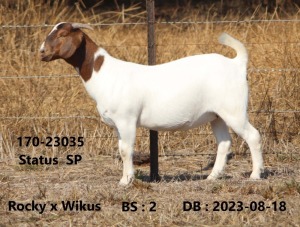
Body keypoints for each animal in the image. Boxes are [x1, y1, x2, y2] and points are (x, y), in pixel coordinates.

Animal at [39, 22, 262, 185]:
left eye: (62, 34)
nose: (42, 52)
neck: (105, 74)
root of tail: (237, 63)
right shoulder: (118, 124)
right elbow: (121, 149)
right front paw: (125, 178)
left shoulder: (126, 119)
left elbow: (126, 150)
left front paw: (126, 181)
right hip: (216, 115)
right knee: (224, 143)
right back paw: (212, 177)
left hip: (234, 109)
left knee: (253, 136)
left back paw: (255, 175)